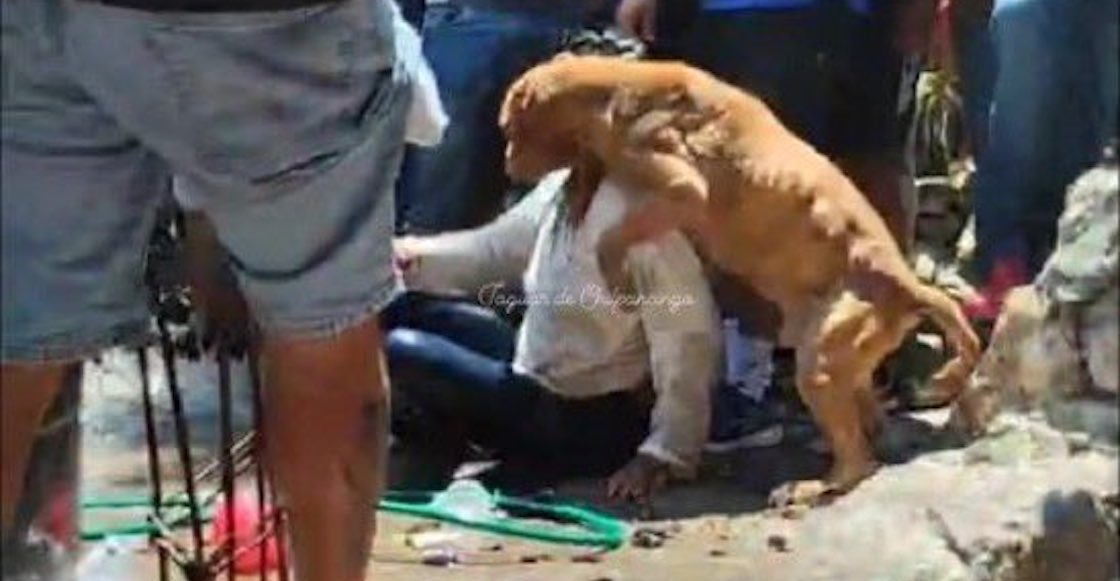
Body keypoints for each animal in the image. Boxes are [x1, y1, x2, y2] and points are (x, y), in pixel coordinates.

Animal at [499, 55, 982, 506]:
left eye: (508, 129)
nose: (505, 165)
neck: (611, 92)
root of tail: (910, 285)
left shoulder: (682, 186)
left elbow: (612, 238)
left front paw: (612, 271)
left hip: (820, 364)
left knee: (857, 462)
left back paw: (813, 485)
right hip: (839, 353)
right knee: (870, 427)